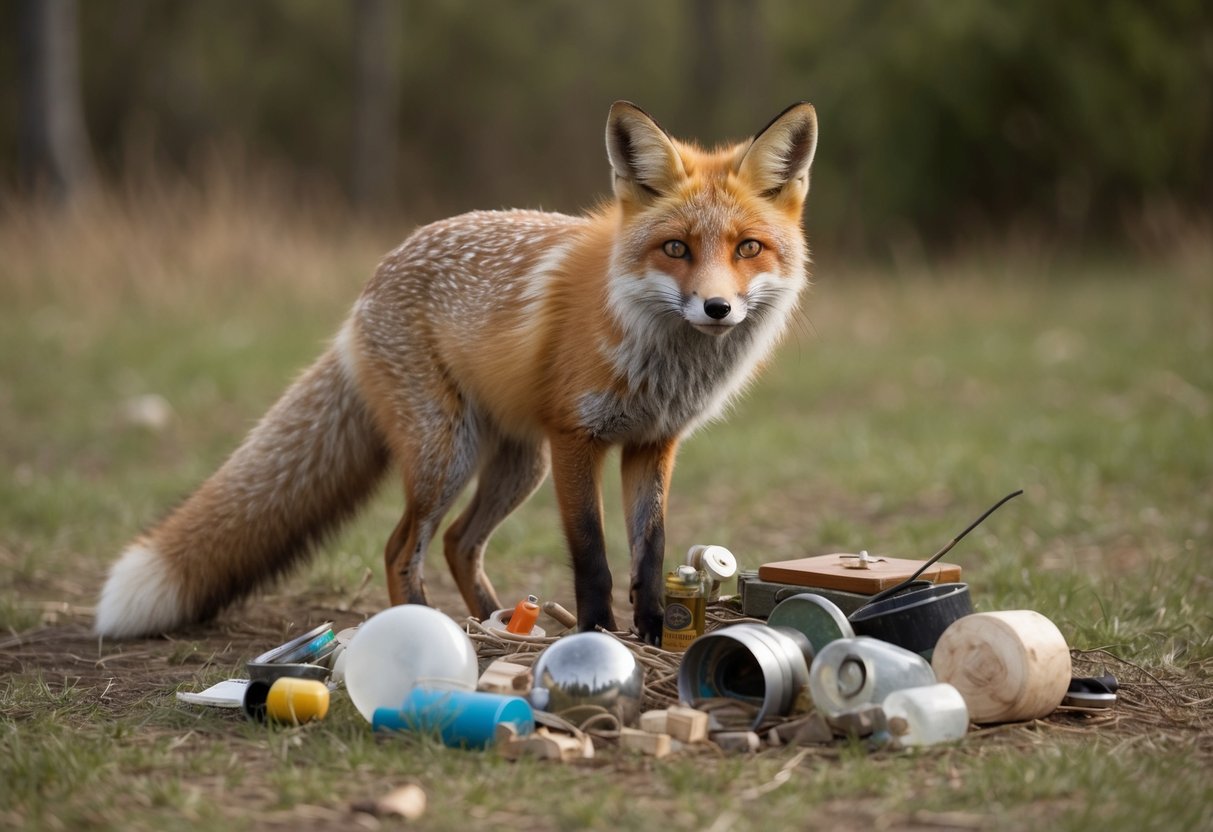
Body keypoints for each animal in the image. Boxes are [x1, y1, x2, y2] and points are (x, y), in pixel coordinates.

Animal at [95, 100, 818, 645]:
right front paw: (596, 637)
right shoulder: (575, 438)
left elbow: (651, 552)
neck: (659, 358)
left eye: (747, 248)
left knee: (457, 544)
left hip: (515, 465)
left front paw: (651, 632)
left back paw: (496, 622)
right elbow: (592, 558)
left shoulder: (651, 444)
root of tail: (371, 284)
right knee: (402, 547)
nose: (717, 308)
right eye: (675, 248)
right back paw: (426, 627)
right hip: (448, 454)